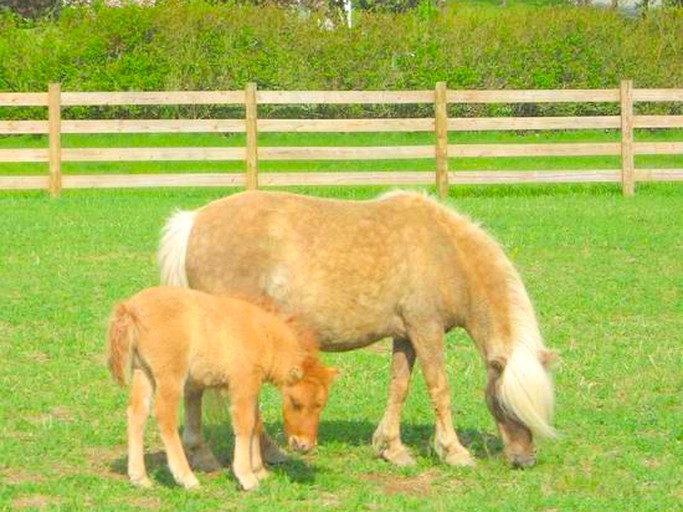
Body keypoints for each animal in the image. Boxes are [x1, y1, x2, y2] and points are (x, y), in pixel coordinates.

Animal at [105, 286, 338, 490]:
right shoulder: (241, 384)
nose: (303, 445)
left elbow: (256, 423)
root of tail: (130, 307)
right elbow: (244, 424)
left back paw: (140, 479)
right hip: (170, 376)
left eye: (320, 406)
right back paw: (187, 479)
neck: (262, 334)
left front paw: (259, 471)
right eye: (295, 402)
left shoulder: (252, 387)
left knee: (137, 414)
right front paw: (247, 478)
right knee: (165, 416)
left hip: (142, 372)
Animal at [159, 191, 556, 468]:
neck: (444, 252)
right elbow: (439, 389)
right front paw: (454, 452)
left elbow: (399, 387)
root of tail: (193, 221)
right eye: (504, 403)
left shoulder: (405, 336)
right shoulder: (426, 330)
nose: (525, 459)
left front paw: (391, 448)